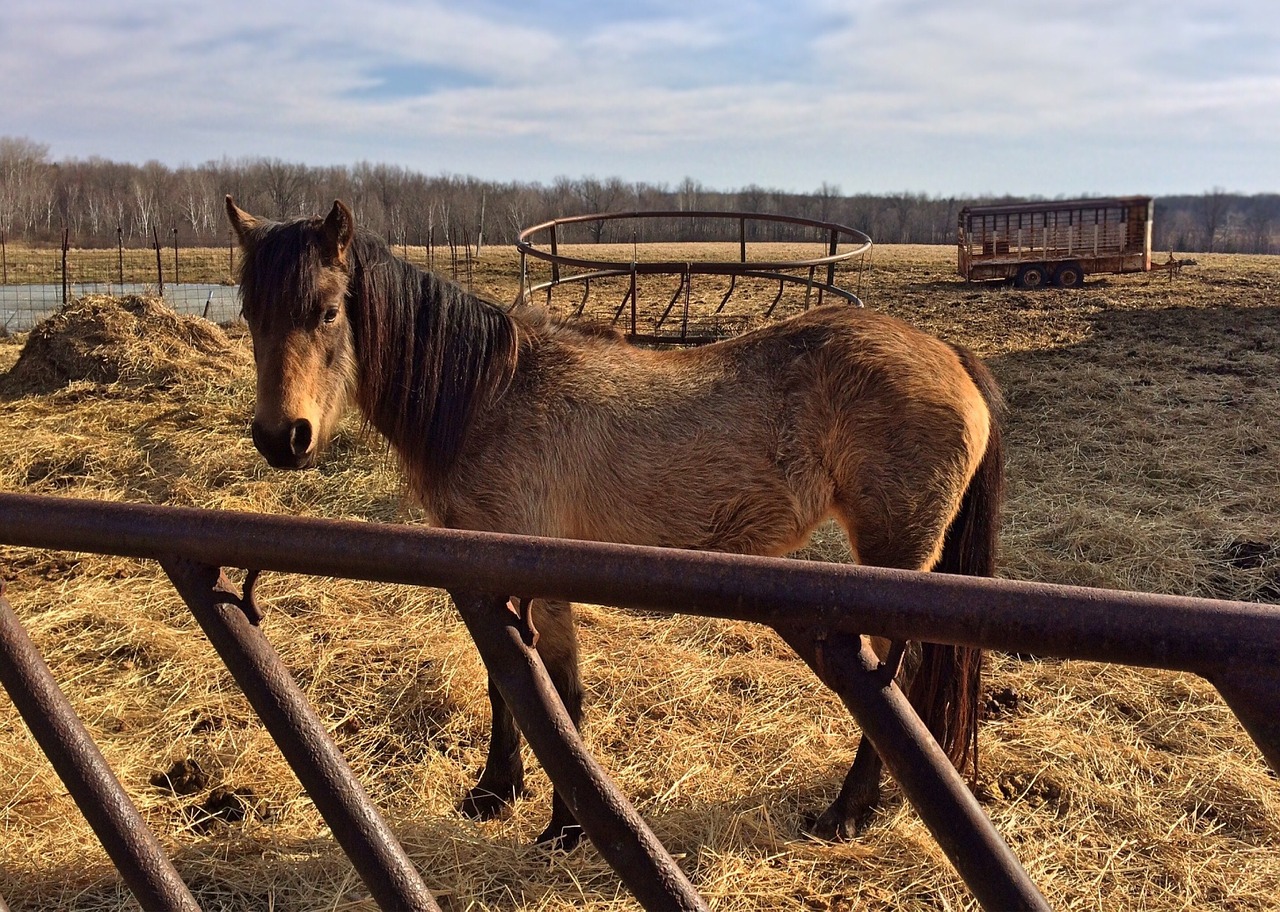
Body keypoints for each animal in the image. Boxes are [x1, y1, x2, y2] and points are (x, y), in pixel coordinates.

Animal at [225, 197, 1003, 845]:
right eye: (249, 313)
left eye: (328, 310)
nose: (281, 438)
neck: (488, 398)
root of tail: (949, 354)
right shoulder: (487, 578)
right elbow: (507, 685)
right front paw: (495, 792)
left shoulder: (532, 576)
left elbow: (555, 695)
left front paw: (565, 825)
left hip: (894, 555)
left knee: (892, 687)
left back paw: (846, 811)